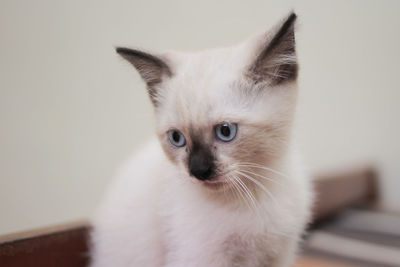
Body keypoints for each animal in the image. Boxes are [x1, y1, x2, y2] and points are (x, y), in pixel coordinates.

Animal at [90, 12, 312, 267]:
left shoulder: (280, 255)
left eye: (225, 131)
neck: (254, 190)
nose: (198, 170)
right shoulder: (201, 257)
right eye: (177, 138)